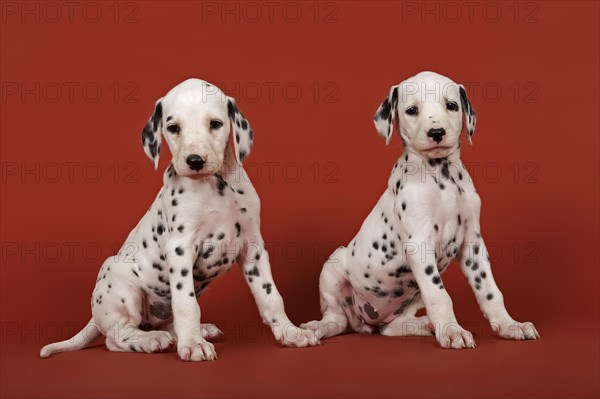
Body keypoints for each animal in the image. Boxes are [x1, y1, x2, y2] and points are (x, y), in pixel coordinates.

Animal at [39, 78, 322, 362]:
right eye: (173, 127)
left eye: (215, 123)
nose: (195, 161)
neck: (214, 187)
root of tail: (95, 317)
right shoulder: (181, 247)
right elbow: (187, 304)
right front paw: (194, 345)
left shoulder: (253, 247)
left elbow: (270, 295)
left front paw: (290, 332)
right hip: (120, 284)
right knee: (117, 337)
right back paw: (152, 340)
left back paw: (194, 332)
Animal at [302, 72, 540, 350]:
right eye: (412, 110)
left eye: (451, 105)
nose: (436, 132)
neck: (442, 176)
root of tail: (365, 321)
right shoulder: (419, 245)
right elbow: (440, 295)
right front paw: (452, 331)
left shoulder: (473, 244)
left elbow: (490, 291)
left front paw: (509, 325)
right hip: (333, 267)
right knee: (336, 320)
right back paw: (315, 328)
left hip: (407, 301)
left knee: (390, 328)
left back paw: (424, 324)